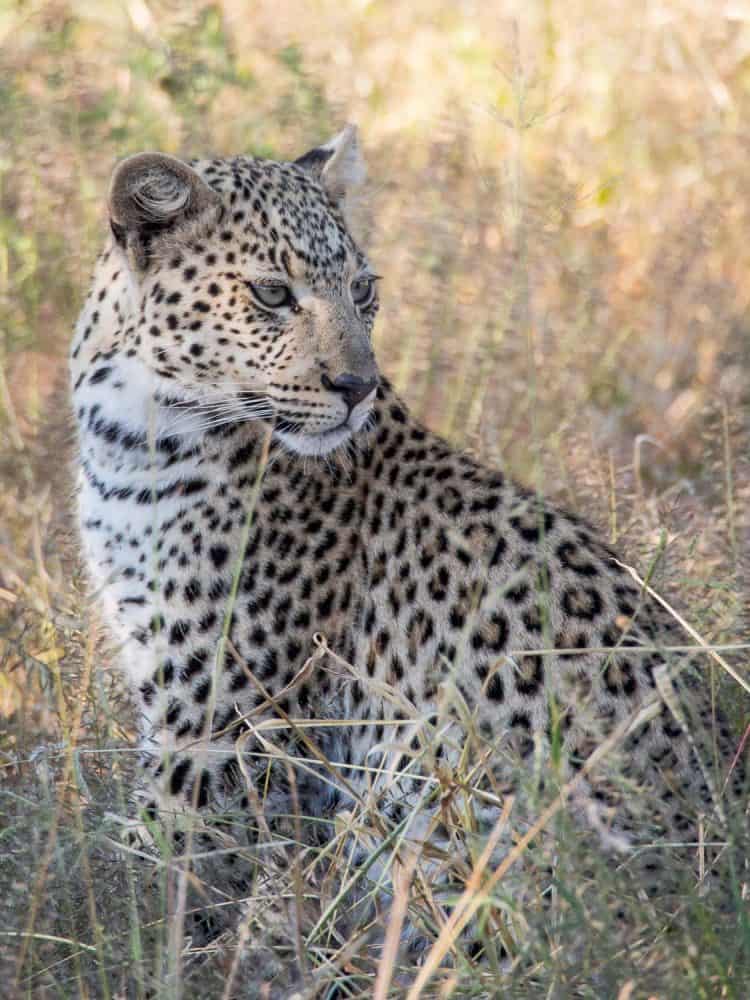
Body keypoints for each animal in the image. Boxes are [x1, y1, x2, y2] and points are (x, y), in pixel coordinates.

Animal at [70, 125, 748, 960]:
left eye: (364, 290)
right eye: (272, 294)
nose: (356, 387)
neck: (130, 434)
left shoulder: (216, 724)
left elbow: (157, 872)